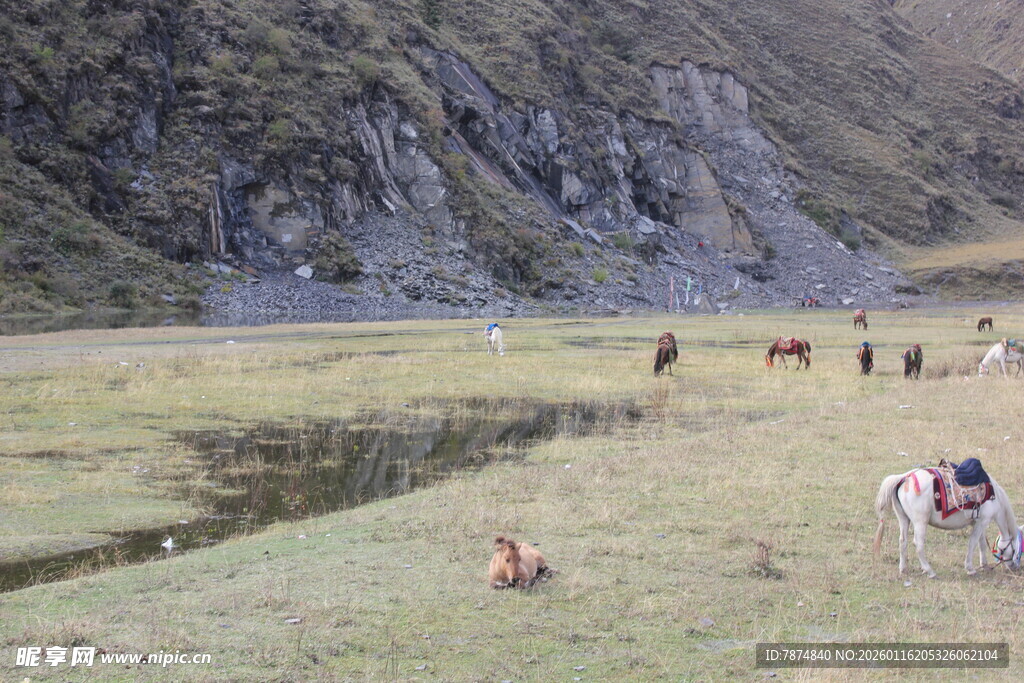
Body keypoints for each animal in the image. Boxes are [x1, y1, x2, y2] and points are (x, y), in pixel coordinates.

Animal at [874, 468, 1021, 577]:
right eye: (1015, 550)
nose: (1014, 567)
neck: (994, 496)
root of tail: (905, 477)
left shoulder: (979, 522)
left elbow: (982, 544)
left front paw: (984, 565)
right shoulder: (982, 522)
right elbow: (973, 543)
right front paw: (970, 568)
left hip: (904, 519)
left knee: (902, 541)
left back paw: (903, 569)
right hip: (920, 522)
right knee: (918, 544)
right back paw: (930, 571)